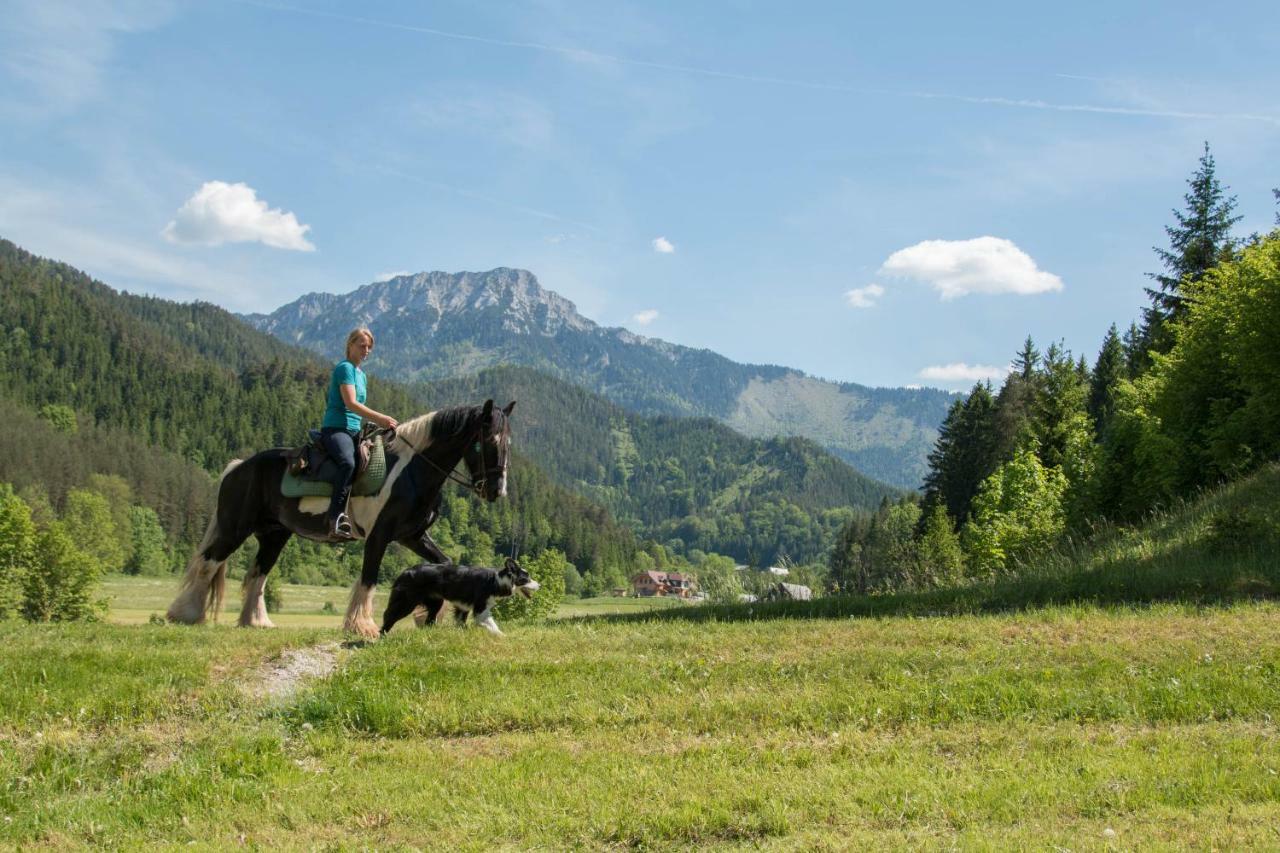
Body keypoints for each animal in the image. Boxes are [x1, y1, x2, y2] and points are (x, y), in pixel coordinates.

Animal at [166, 399, 514, 637]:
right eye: (487, 442)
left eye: (508, 443)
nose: (496, 491)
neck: (412, 471)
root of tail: (239, 467)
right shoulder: (380, 535)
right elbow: (369, 578)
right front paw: (362, 625)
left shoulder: (413, 536)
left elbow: (444, 563)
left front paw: (432, 613)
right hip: (235, 527)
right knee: (209, 563)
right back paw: (185, 614)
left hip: (274, 533)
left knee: (258, 574)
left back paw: (256, 621)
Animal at [378, 555, 540, 635]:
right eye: (526, 578)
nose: (540, 585)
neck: (498, 581)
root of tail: (405, 571)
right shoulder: (480, 608)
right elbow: (491, 624)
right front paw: (501, 636)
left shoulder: (464, 607)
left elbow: (461, 622)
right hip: (406, 602)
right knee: (389, 617)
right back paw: (381, 636)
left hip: (436, 602)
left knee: (429, 620)